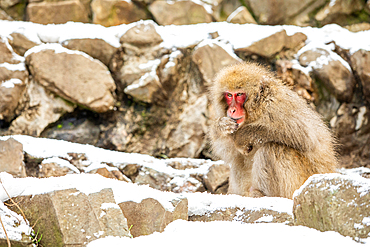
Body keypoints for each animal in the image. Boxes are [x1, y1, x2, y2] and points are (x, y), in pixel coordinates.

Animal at [208, 61, 338, 199]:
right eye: (228, 95)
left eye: (239, 94)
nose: (232, 110)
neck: (257, 108)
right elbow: (230, 153)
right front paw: (220, 126)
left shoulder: (277, 105)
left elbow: (304, 137)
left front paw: (242, 137)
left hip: (298, 184)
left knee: (272, 148)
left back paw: (262, 194)